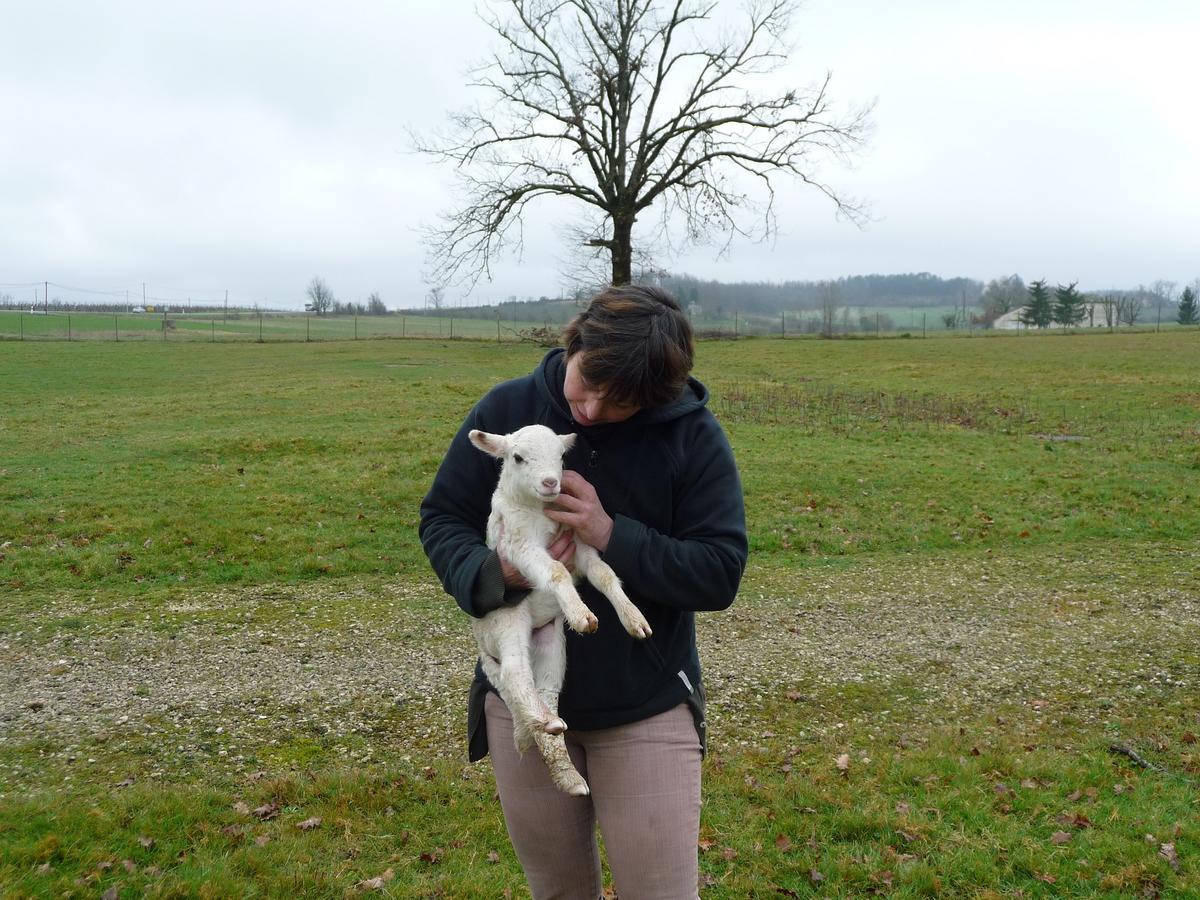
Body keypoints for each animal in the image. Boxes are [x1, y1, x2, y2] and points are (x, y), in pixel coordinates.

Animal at [470, 427, 657, 801]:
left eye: (560, 456)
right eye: (517, 458)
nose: (550, 482)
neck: (539, 511)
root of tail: (483, 646)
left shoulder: (580, 542)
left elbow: (603, 573)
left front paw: (634, 619)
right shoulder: (519, 547)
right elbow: (556, 571)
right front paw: (580, 612)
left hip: (551, 642)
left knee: (545, 688)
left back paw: (561, 759)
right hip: (506, 621)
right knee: (514, 673)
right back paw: (546, 723)